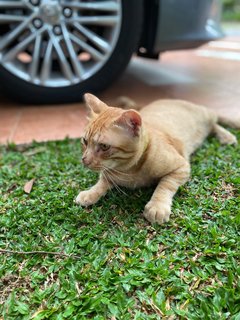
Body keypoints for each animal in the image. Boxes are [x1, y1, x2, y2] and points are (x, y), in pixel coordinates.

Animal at [75, 94, 238, 224]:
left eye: (104, 146)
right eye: (85, 141)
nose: (84, 160)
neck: (129, 170)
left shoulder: (181, 167)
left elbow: (165, 185)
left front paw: (157, 206)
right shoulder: (108, 173)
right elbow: (102, 182)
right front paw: (90, 193)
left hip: (206, 116)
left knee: (215, 122)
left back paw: (226, 136)